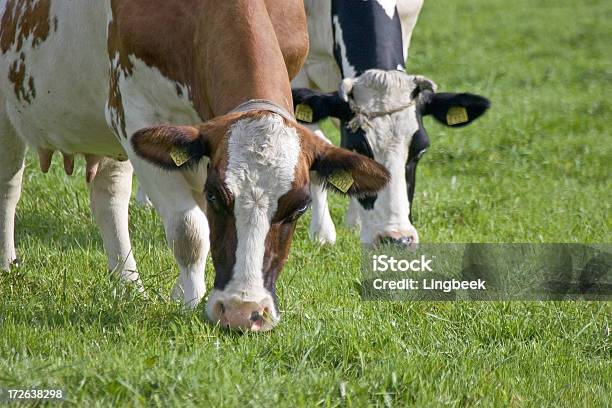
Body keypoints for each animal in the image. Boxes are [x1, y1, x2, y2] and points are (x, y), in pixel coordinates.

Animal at [0, 0, 388, 332]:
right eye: (217, 196)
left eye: (298, 209)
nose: (243, 312)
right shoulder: (137, 117)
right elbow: (191, 229)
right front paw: (190, 301)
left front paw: (181, 292)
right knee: (9, 188)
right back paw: (6, 263)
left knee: (109, 199)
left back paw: (129, 286)